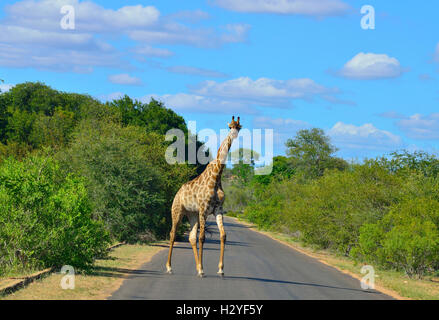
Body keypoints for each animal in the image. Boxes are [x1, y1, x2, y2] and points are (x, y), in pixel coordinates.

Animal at [166, 115, 242, 278]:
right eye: (230, 126)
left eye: (239, 127)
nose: (234, 135)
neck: (216, 177)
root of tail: (177, 193)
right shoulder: (204, 209)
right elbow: (202, 238)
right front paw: (202, 270)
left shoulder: (218, 209)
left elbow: (223, 235)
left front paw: (220, 269)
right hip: (177, 211)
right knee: (172, 233)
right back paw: (169, 267)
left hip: (192, 214)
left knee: (191, 237)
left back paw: (196, 266)